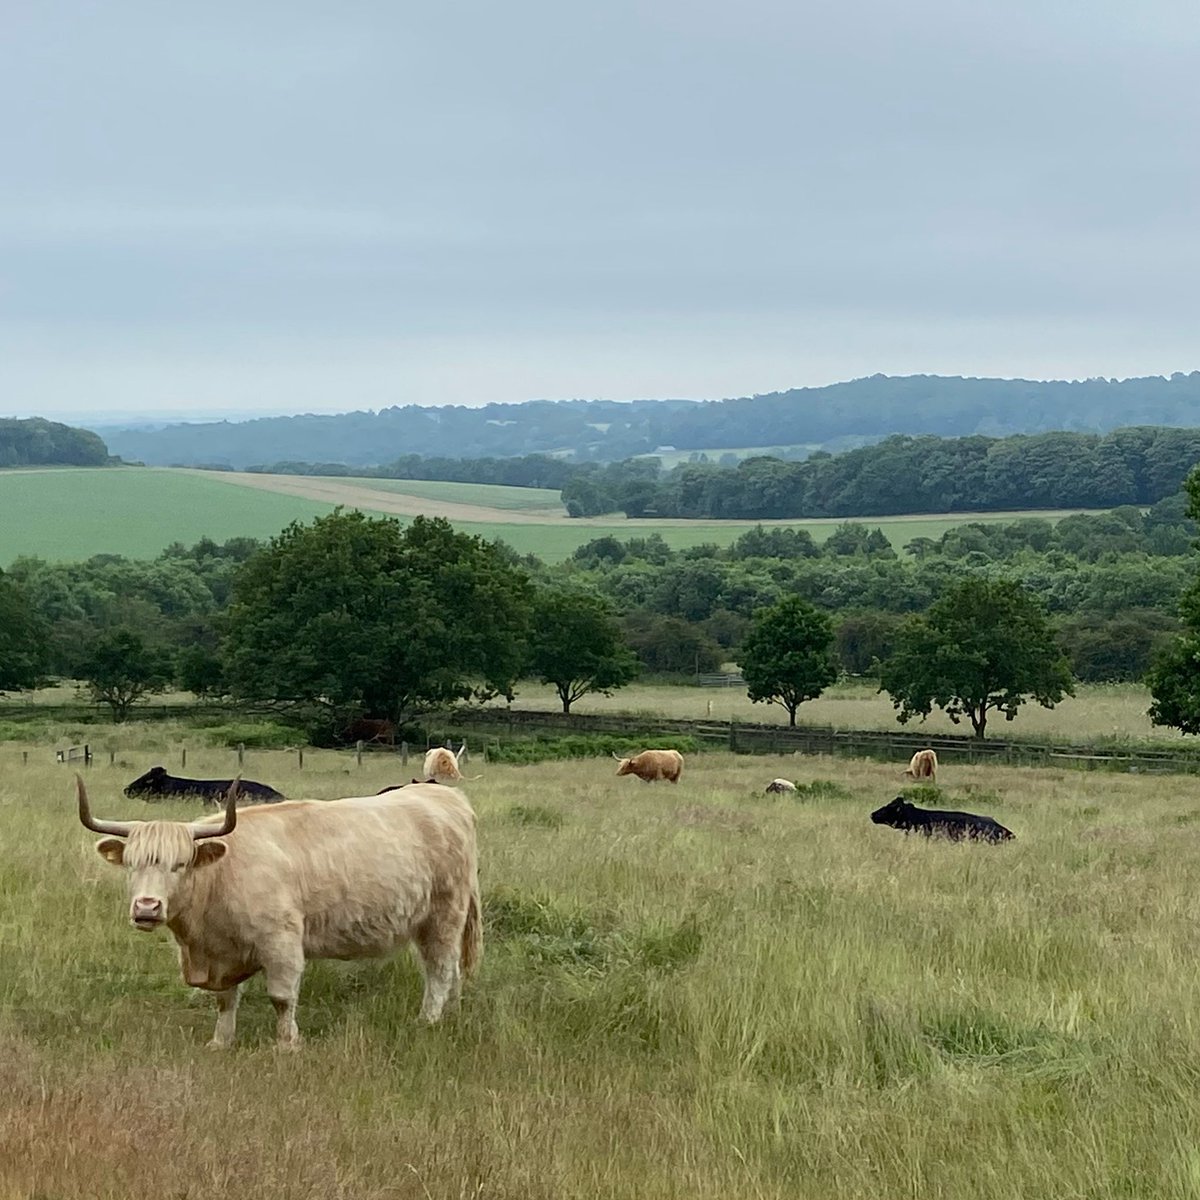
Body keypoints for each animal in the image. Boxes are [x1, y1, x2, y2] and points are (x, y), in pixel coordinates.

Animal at [78, 775, 481, 1048]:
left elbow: (281, 998)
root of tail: (443, 795)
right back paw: (452, 1013)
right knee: (449, 970)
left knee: (440, 969)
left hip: (444, 914)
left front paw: (287, 1044)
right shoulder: (223, 952)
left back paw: (428, 1020)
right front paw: (220, 1042)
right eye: (132, 864)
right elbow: (226, 1000)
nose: (147, 907)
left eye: (180, 864)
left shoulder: (281, 942)